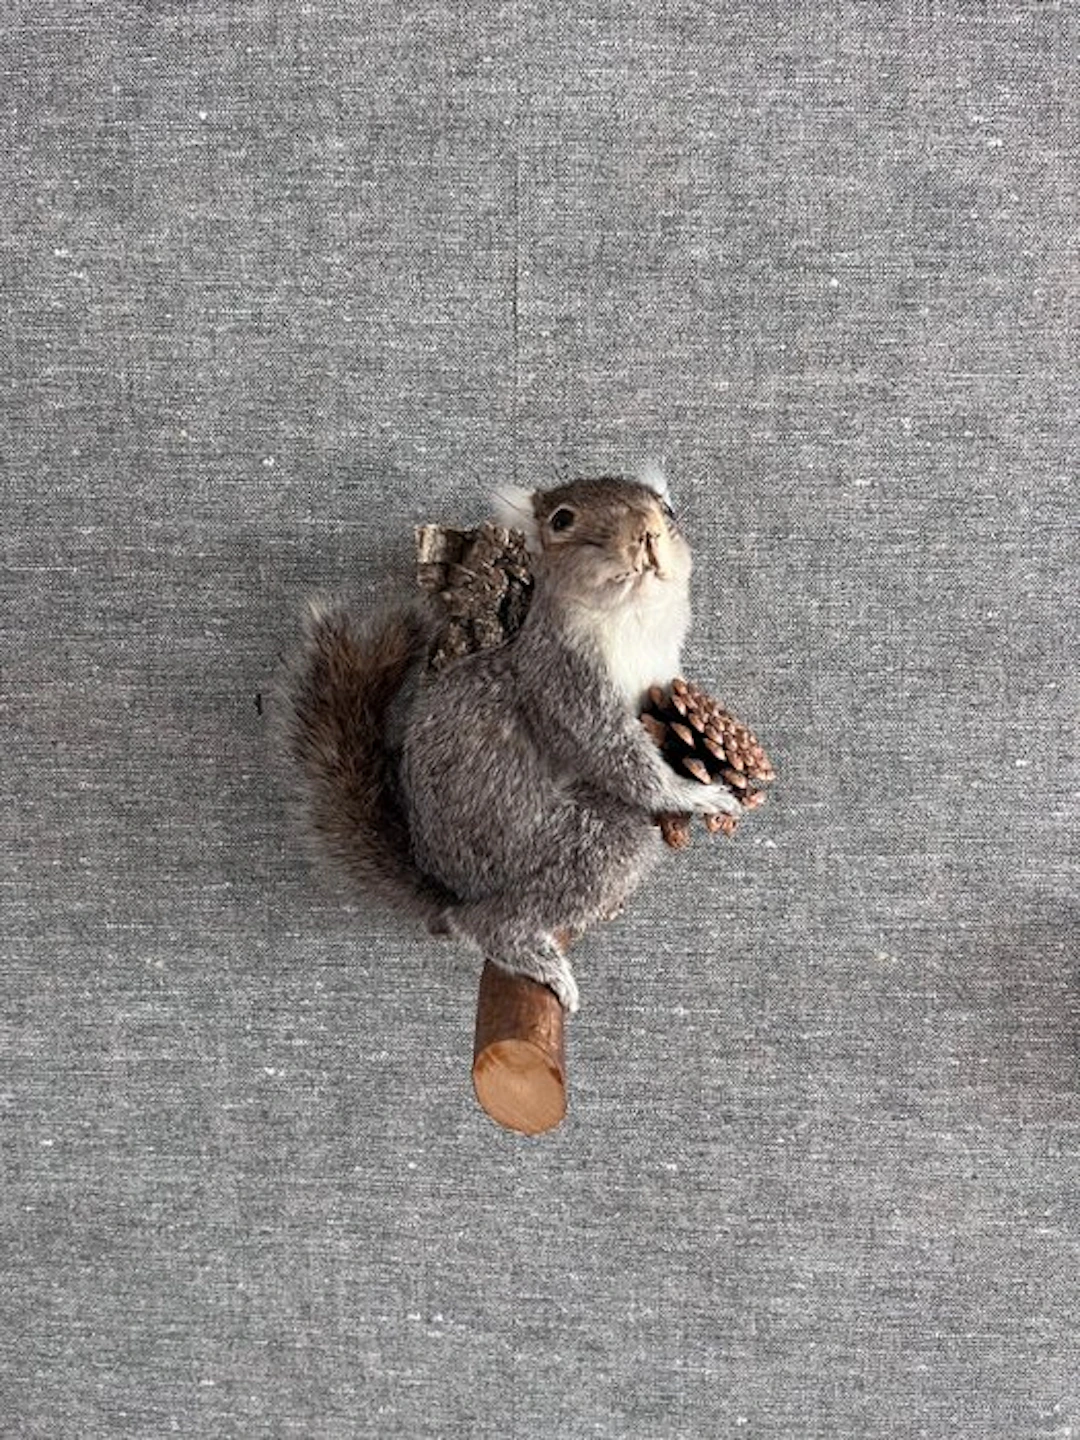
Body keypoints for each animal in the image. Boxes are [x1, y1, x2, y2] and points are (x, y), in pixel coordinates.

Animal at [284, 472, 739, 1013]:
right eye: (562, 520)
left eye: (667, 510)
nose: (645, 530)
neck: (632, 623)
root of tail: (451, 886)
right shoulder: (564, 682)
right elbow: (615, 755)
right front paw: (695, 793)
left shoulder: (663, 679)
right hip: (540, 842)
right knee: (489, 920)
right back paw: (526, 951)